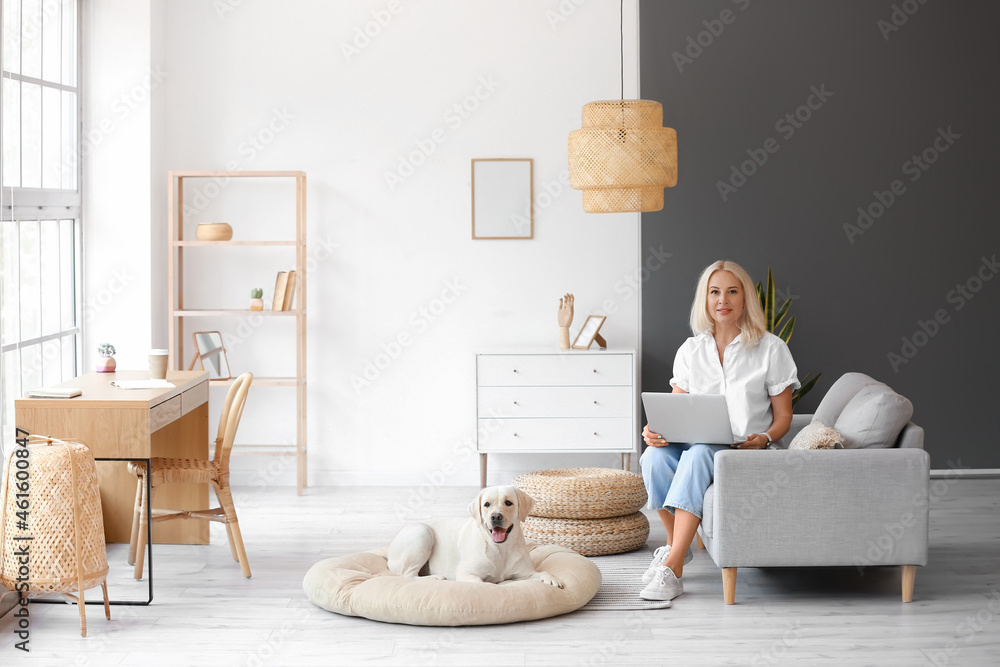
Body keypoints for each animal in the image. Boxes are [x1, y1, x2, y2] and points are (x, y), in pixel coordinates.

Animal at [386, 486, 564, 588]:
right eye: (486, 504)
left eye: (508, 502)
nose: (496, 517)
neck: (500, 548)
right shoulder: (466, 573)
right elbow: (481, 582)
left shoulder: (525, 573)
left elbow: (543, 572)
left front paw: (551, 579)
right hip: (422, 532)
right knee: (408, 575)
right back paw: (435, 578)